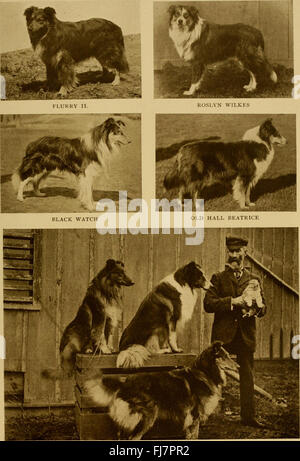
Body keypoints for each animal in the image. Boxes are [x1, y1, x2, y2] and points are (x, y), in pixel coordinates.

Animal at [85, 342, 239, 438]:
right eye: (225, 356)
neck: (204, 372)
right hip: (146, 417)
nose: (238, 367)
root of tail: (125, 384)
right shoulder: (194, 417)